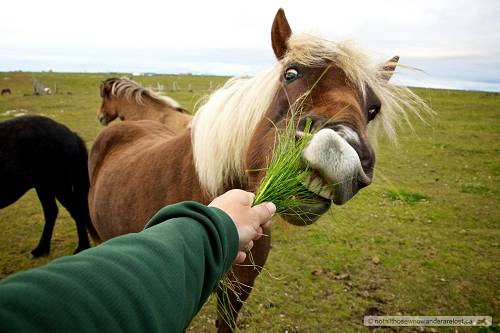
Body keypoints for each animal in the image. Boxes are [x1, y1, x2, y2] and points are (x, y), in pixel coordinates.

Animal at [0, 115, 96, 255]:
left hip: (57, 184)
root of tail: (70, 133)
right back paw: (41, 249)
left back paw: (81, 247)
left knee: (75, 210)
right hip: (43, 186)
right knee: (52, 211)